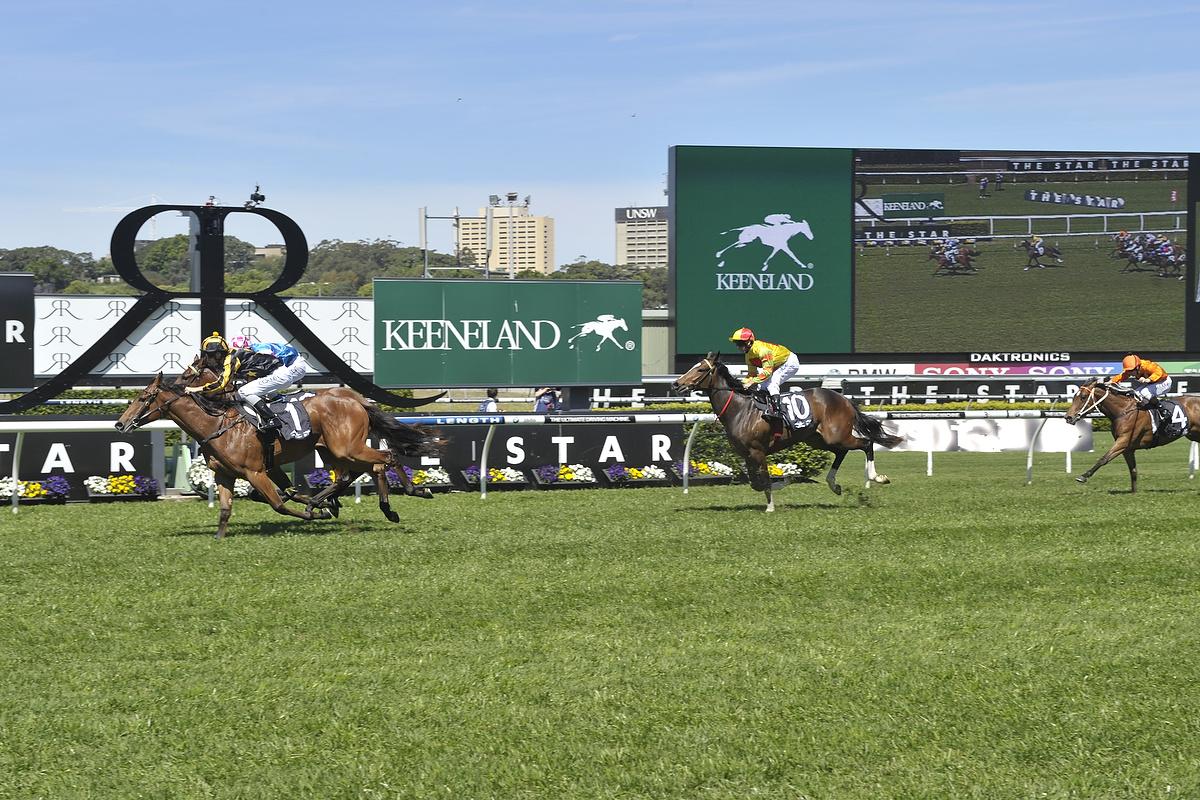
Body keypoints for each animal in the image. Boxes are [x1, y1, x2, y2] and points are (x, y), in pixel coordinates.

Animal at [115, 372, 442, 538]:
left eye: (144, 398)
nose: (120, 424)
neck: (217, 425)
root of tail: (356, 400)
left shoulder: (256, 471)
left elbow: (278, 503)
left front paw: (316, 512)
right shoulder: (225, 475)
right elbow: (226, 510)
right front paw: (219, 539)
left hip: (345, 447)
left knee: (385, 459)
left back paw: (413, 492)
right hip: (335, 450)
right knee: (360, 471)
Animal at [671, 352, 903, 511]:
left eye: (701, 370)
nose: (676, 384)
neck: (740, 409)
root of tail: (843, 398)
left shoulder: (758, 451)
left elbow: (763, 480)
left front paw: (771, 505)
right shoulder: (746, 454)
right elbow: (755, 483)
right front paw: (784, 482)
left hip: (835, 435)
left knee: (866, 443)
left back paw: (877, 477)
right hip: (818, 439)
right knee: (841, 452)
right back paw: (834, 485)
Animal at [1064, 378, 1200, 493]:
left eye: (1083, 397)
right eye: (1074, 396)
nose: (1068, 417)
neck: (1123, 411)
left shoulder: (1123, 441)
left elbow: (1104, 458)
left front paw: (1083, 476)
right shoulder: (1127, 448)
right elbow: (1133, 469)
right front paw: (1134, 492)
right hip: (1193, 435)